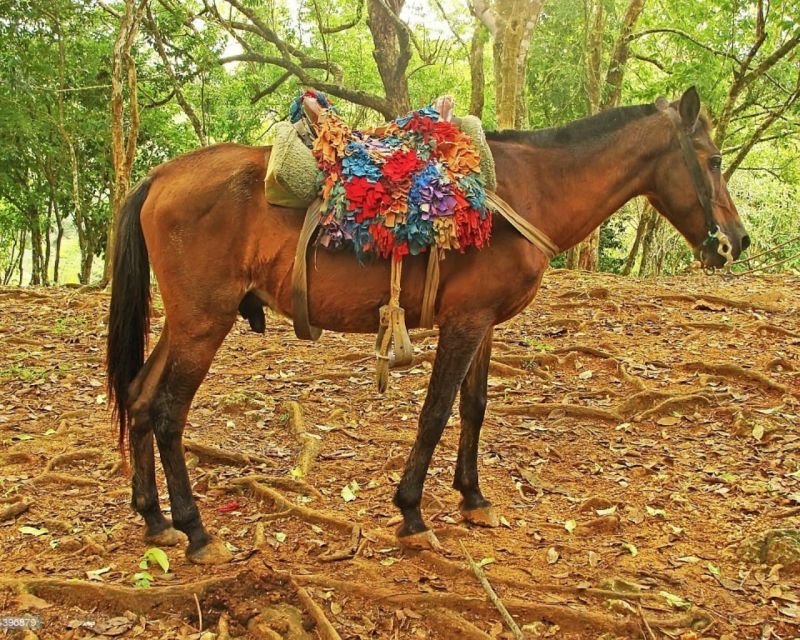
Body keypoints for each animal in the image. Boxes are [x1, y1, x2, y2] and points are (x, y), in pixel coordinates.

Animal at [106, 87, 752, 564]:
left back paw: (154, 520)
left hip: (186, 322)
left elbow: (474, 407)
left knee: (138, 399)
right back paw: (195, 530)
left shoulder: (483, 322)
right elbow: (437, 411)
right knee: (168, 411)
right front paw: (412, 512)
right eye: (714, 160)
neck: (522, 192)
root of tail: (160, 177)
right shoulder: (463, 322)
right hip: (204, 322)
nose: (738, 241)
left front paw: (473, 497)